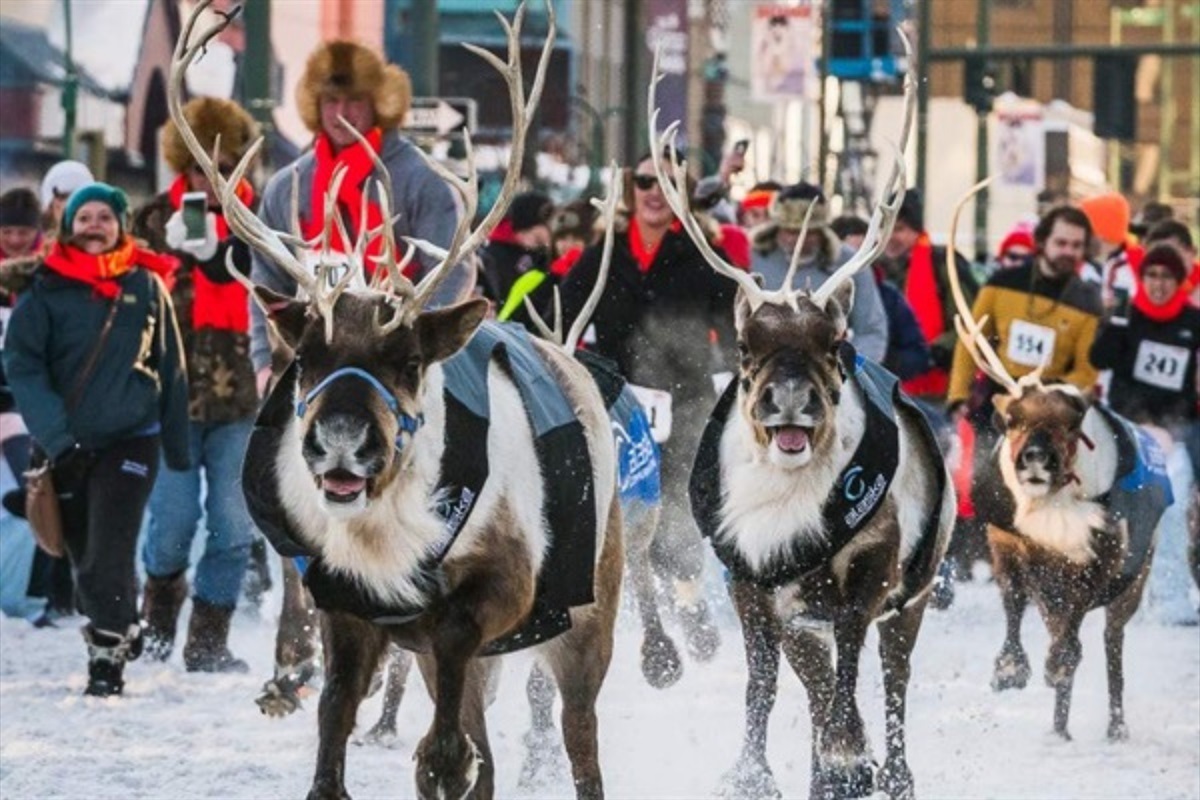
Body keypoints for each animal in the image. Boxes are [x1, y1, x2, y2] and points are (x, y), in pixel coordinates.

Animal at [171, 4, 622, 800]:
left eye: (409, 361)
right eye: (306, 359)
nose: (342, 442)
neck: (384, 539)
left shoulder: (500, 590)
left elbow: (448, 713)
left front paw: (433, 758)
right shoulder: (343, 601)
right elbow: (334, 714)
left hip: (587, 618)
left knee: (578, 741)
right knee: (485, 742)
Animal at [649, 42, 954, 800]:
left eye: (833, 345)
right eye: (746, 349)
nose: (790, 401)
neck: (785, 511)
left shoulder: (870, 570)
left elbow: (848, 676)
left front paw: (849, 764)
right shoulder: (753, 580)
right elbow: (765, 684)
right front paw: (753, 774)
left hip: (917, 590)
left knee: (891, 680)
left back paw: (891, 771)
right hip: (799, 606)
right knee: (813, 680)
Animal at [945, 179, 1173, 742]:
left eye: (1073, 424)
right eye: (1011, 419)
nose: (1034, 460)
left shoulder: (1102, 561)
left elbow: (1071, 640)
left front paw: (1052, 667)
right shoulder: (1009, 543)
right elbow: (1014, 604)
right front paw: (1010, 669)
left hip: (1135, 583)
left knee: (1112, 645)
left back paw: (1114, 725)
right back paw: (1059, 726)